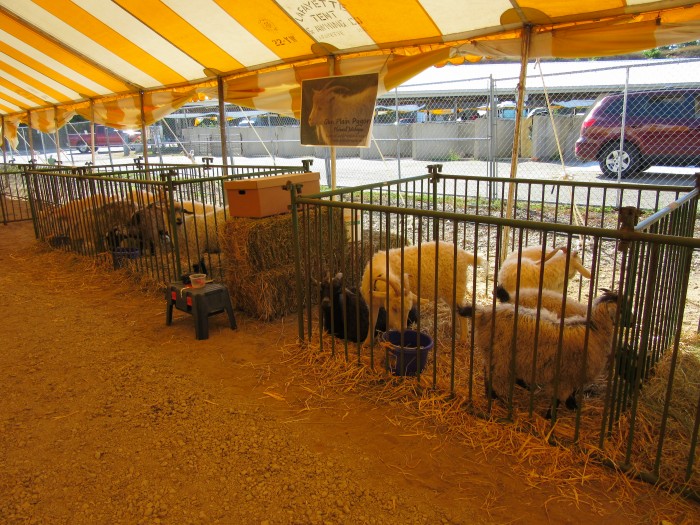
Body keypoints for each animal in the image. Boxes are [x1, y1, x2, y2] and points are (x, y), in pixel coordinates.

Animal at [460, 288, 616, 416]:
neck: (595, 330)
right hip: (501, 355)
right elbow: (559, 398)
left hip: (496, 353)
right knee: (495, 376)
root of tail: (484, 314)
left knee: (488, 371)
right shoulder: (568, 376)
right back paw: (501, 399)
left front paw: (570, 405)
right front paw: (551, 416)